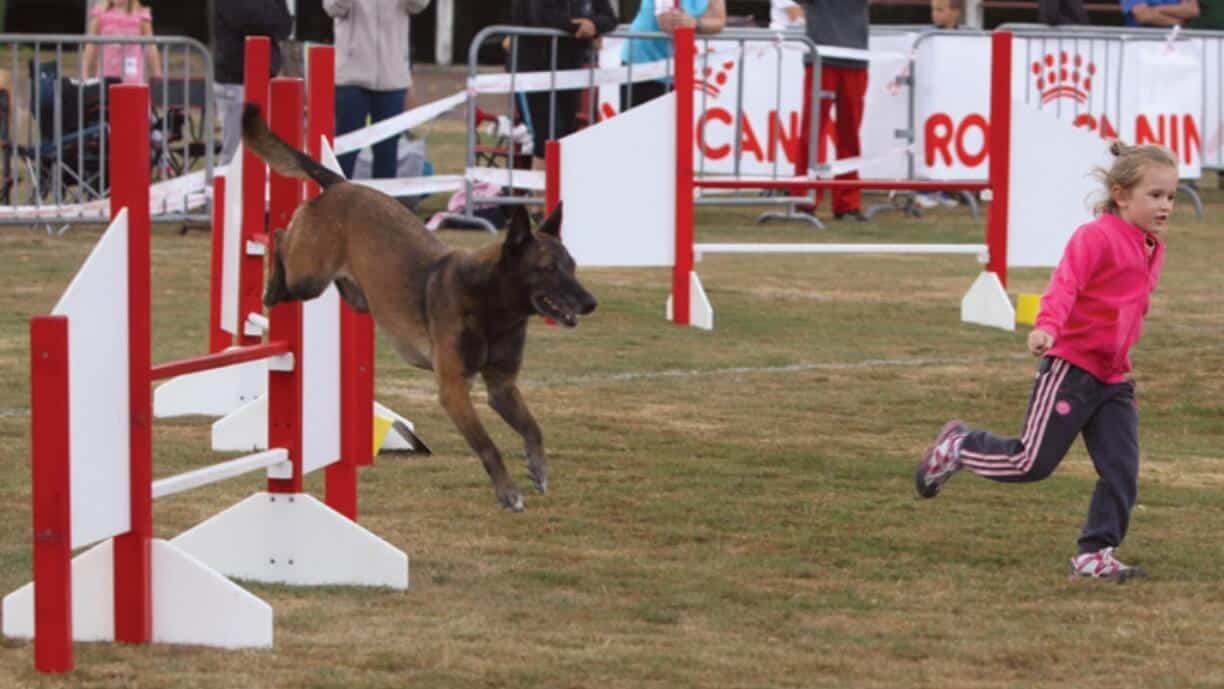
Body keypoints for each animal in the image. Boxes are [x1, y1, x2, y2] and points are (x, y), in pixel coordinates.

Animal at [239, 104, 597, 511]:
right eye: (548, 269)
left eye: (572, 266)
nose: (590, 303)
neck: (492, 306)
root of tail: (340, 184)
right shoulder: (454, 390)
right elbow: (487, 446)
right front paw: (508, 491)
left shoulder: (502, 387)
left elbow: (533, 428)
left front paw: (538, 467)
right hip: (308, 277)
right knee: (280, 237)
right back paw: (271, 284)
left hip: (344, 291)